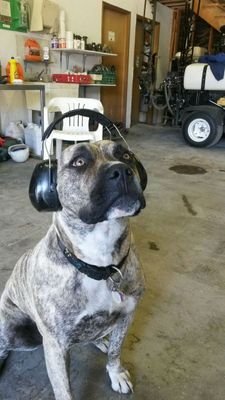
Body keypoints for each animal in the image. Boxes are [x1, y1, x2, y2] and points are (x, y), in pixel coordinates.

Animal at [0, 141, 147, 400]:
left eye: (126, 155)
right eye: (79, 162)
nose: (121, 171)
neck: (99, 266)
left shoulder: (126, 316)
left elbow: (116, 351)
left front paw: (116, 373)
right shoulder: (56, 346)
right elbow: (64, 389)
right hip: (14, 330)